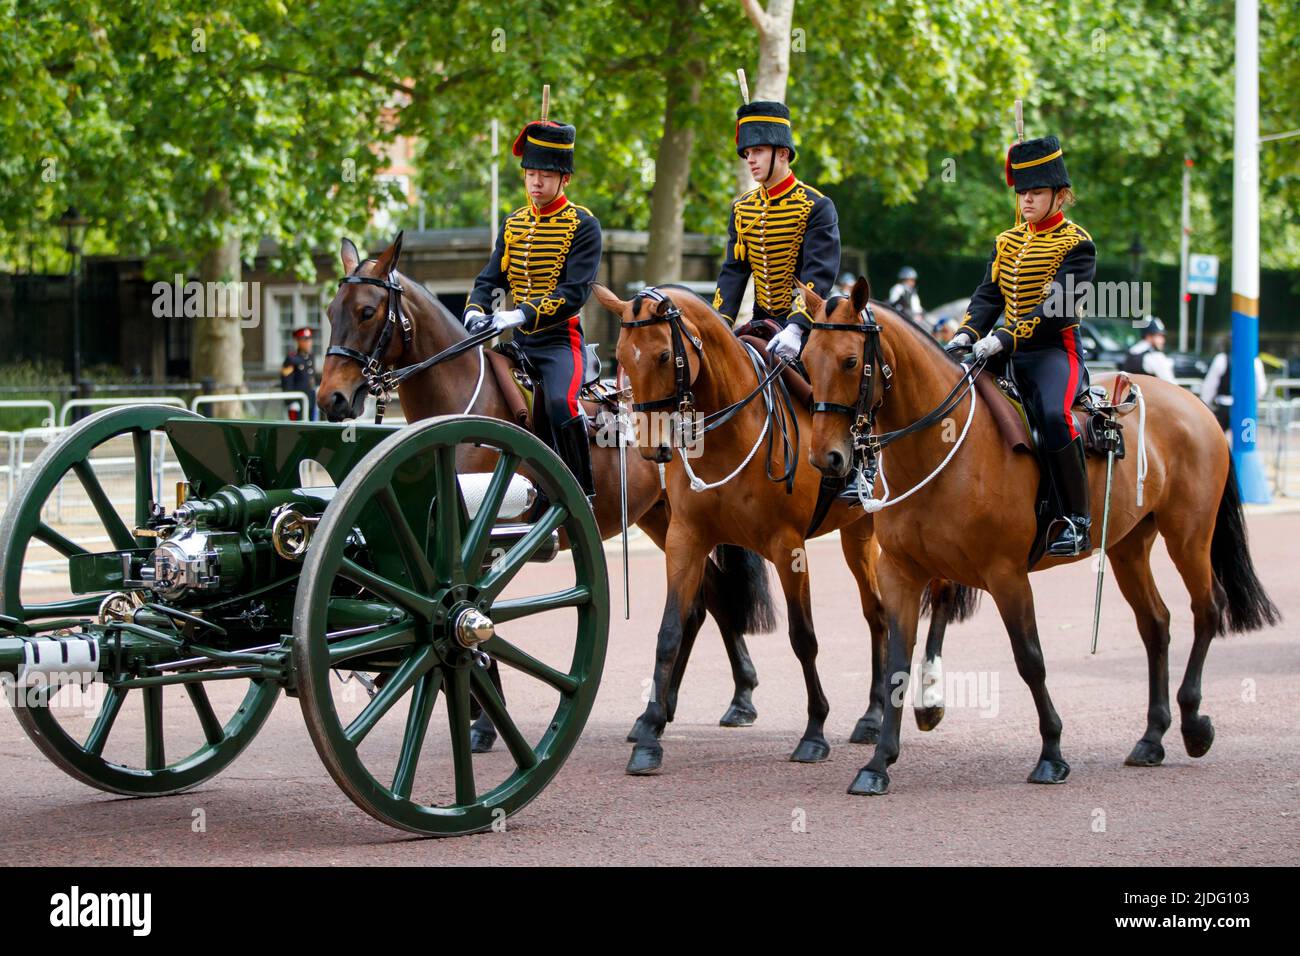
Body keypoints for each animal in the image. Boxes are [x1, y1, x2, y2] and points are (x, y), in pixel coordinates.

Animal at [317, 235, 769, 743]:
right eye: (331, 309)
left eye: (367, 311)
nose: (331, 399)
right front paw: (479, 714)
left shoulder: (483, 541)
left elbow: (473, 613)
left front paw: (482, 721)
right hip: (664, 517)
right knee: (703, 600)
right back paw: (669, 706)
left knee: (717, 599)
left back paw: (737, 699)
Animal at [595, 283, 972, 780]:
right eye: (621, 355)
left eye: (661, 355)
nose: (649, 446)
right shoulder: (685, 539)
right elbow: (670, 631)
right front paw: (650, 735)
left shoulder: (788, 546)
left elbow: (803, 637)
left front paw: (814, 732)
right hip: (857, 534)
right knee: (877, 614)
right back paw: (873, 715)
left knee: (935, 595)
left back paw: (925, 701)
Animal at [800, 274, 1279, 790]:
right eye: (806, 359)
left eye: (850, 361)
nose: (826, 458)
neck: (940, 444)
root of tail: (1193, 401)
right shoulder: (901, 573)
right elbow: (897, 666)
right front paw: (878, 764)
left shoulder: (1006, 574)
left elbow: (1029, 658)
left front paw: (1052, 753)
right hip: (1129, 546)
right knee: (1156, 624)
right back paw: (1152, 737)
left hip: (1188, 536)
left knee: (1207, 609)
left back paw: (1193, 724)